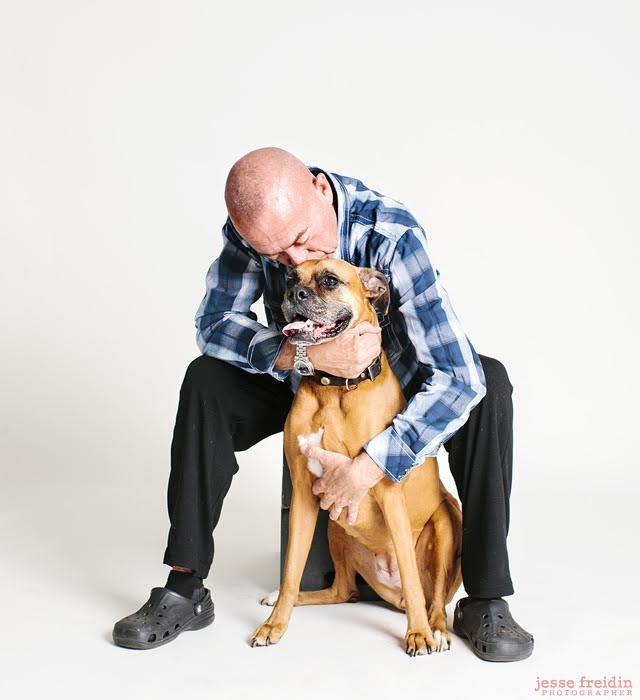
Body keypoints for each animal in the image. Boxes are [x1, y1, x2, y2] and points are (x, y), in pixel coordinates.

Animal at [248, 258, 462, 656]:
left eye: (330, 280)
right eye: (290, 277)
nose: (295, 293)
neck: (333, 389)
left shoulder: (388, 494)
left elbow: (411, 575)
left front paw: (418, 634)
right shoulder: (303, 494)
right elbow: (291, 569)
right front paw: (274, 624)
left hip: (445, 522)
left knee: (433, 598)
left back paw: (436, 629)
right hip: (336, 526)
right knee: (343, 591)